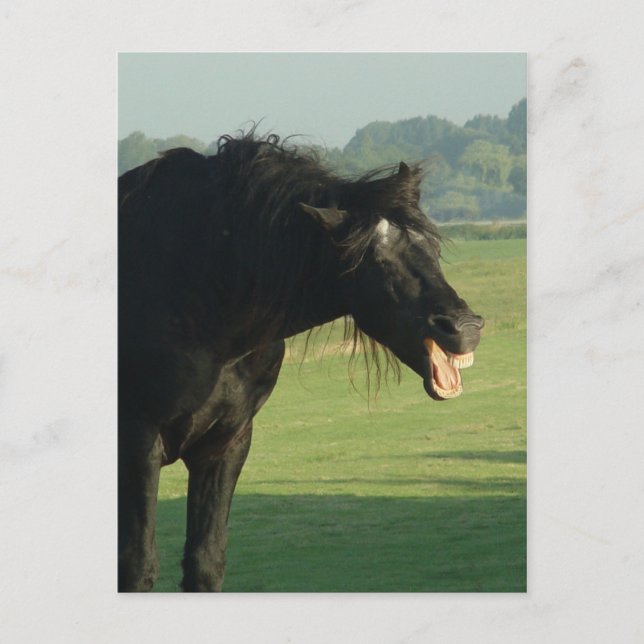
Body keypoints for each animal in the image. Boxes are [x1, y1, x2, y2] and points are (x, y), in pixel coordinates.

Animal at [118, 132, 484, 592]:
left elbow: (205, 561)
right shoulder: (138, 443)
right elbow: (138, 565)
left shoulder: (225, 444)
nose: (464, 327)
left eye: (433, 247)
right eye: (378, 259)